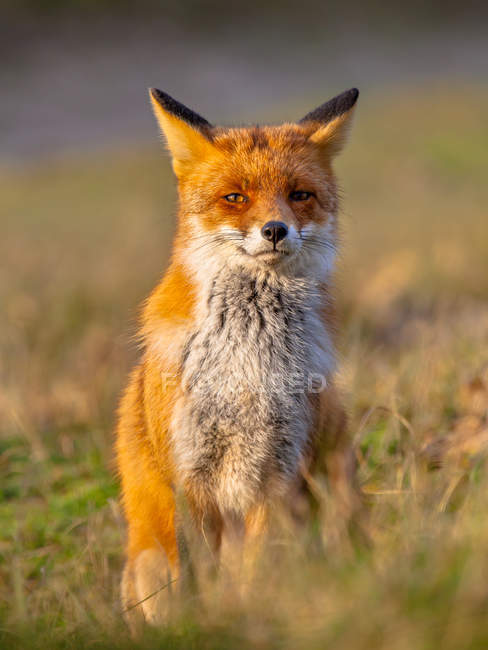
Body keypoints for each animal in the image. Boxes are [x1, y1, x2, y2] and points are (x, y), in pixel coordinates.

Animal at [115, 87, 358, 628]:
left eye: (299, 195)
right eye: (235, 197)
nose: (275, 230)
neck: (248, 366)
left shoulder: (280, 471)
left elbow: (253, 568)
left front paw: (248, 613)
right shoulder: (188, 474)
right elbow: (201, 573)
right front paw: (205, 624)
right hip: (147, 560)